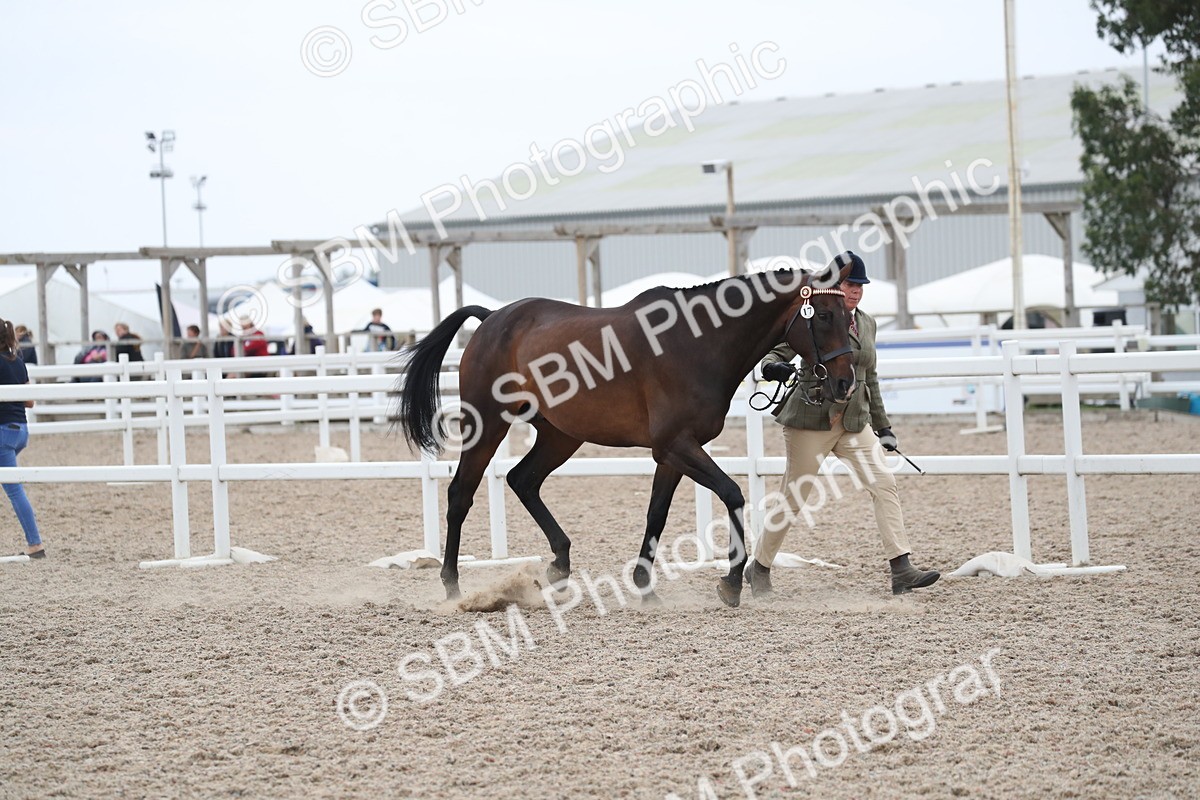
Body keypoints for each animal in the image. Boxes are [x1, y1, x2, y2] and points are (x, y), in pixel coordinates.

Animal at [396, 253, 859, 607]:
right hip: (488, 423)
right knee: (462, 493)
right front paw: (729, 583)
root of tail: (492, 317)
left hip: (561, 434)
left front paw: (645, 588)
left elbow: (657, 513)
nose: (844, 384)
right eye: (824, 315)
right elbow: (732, 494)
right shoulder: (677, 445)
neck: (696, 343)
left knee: (522, 479)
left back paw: (559, 565)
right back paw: (453, 586)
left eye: (850, 315)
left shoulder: (671, 453)